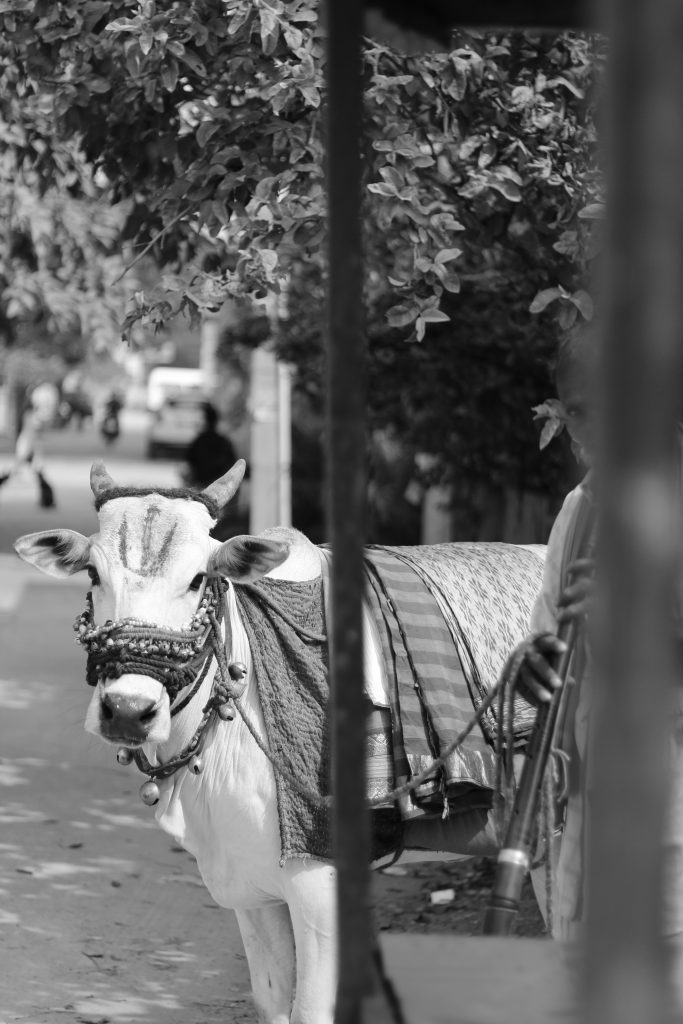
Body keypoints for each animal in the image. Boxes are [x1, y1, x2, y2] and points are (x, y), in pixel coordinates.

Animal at [14, 460, 541, 1024]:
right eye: (93, 574)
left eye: (199, 579)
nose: (129, 710)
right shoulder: (252, 893)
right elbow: (272, 1002)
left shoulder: (321, 887)